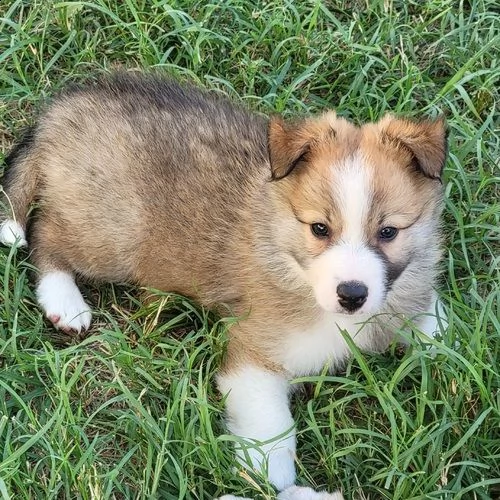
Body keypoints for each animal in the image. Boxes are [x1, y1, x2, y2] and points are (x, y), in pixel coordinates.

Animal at [0, 73, 446, 496]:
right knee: (46, 234)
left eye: (388, 232)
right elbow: (271, 422)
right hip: (112, 234)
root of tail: (62, 109)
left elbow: (434, 322)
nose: (352, 295)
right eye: (319, 229)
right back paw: (64, 301)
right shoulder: (256, 352)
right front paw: (270, 474)